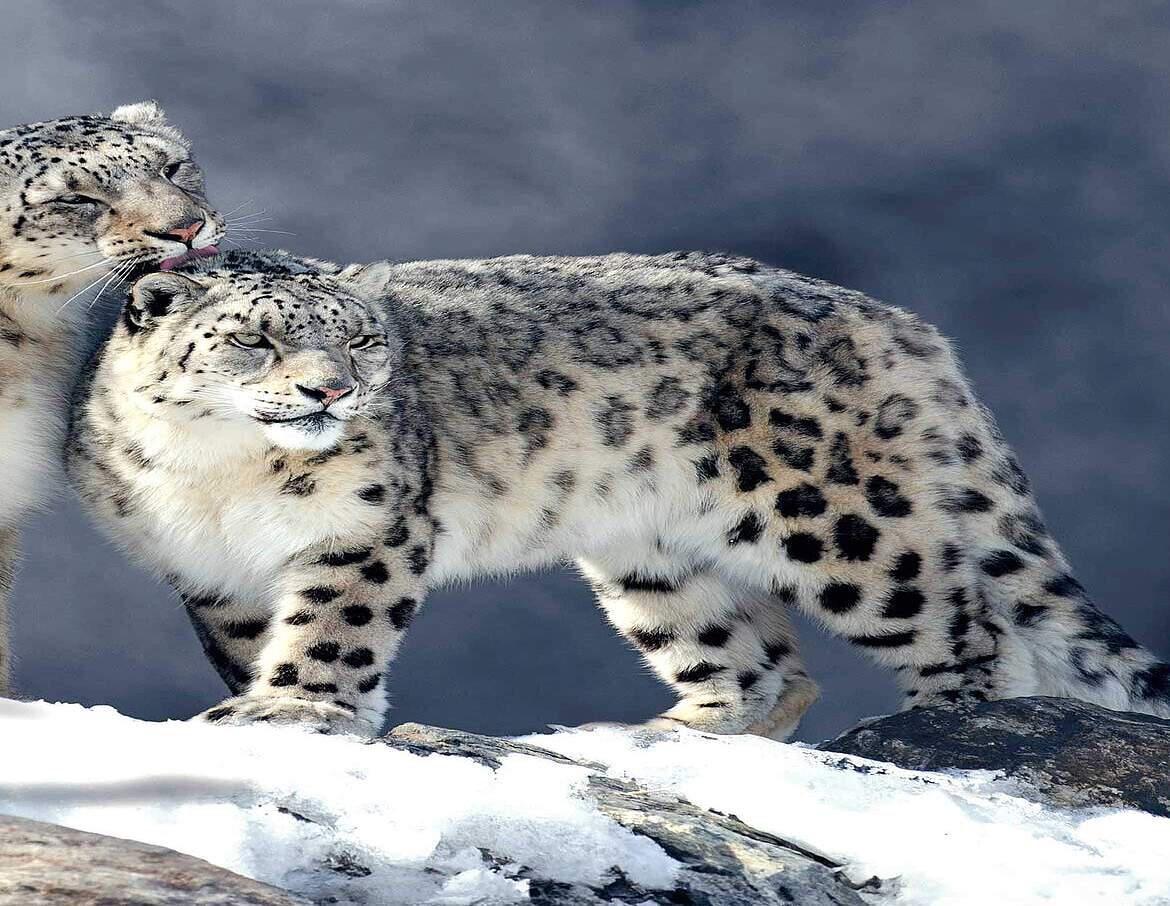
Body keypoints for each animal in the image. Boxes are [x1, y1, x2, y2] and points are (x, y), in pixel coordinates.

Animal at [67, 246, 1170, 737]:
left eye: (364, 340)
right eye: (255, 339)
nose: (329, 389)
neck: (217, 476)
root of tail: (891, 318)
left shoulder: (366, 531)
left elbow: (335, 627)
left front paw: (294, 709)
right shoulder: (211, 574)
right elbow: (258, 638)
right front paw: (283, 703)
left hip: (839, 517)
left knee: (961, 618)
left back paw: (927, 734)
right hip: (655, 558)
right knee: (760, 662)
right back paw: (681, 734)